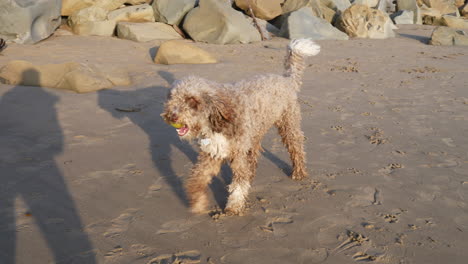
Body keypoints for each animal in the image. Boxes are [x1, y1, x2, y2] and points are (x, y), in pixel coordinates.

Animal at [162, 38, 322, 214]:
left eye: (192, 100)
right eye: (172, 97)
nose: (171, 115)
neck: (218, 119)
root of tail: (286, 79)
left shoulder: (238, 154)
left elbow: (238, 184)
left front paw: (234, 206)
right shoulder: (212, 153)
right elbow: (198, 178)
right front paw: (198, 202)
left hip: (288, 125)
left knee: (296, 148)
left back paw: (299, 172)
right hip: (255, 134)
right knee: (254, 156)